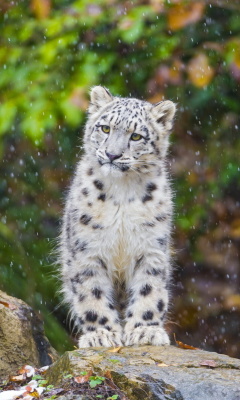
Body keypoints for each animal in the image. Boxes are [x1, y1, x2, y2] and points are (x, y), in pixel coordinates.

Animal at [60, 86, 176, 346]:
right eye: (105, 128)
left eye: (136, 137)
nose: (112, 154)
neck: (122, 191)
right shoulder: (87, 250)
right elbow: (91, 292)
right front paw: (101, 334)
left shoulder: (151, 248)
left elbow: (149, 289)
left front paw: (145, 330)